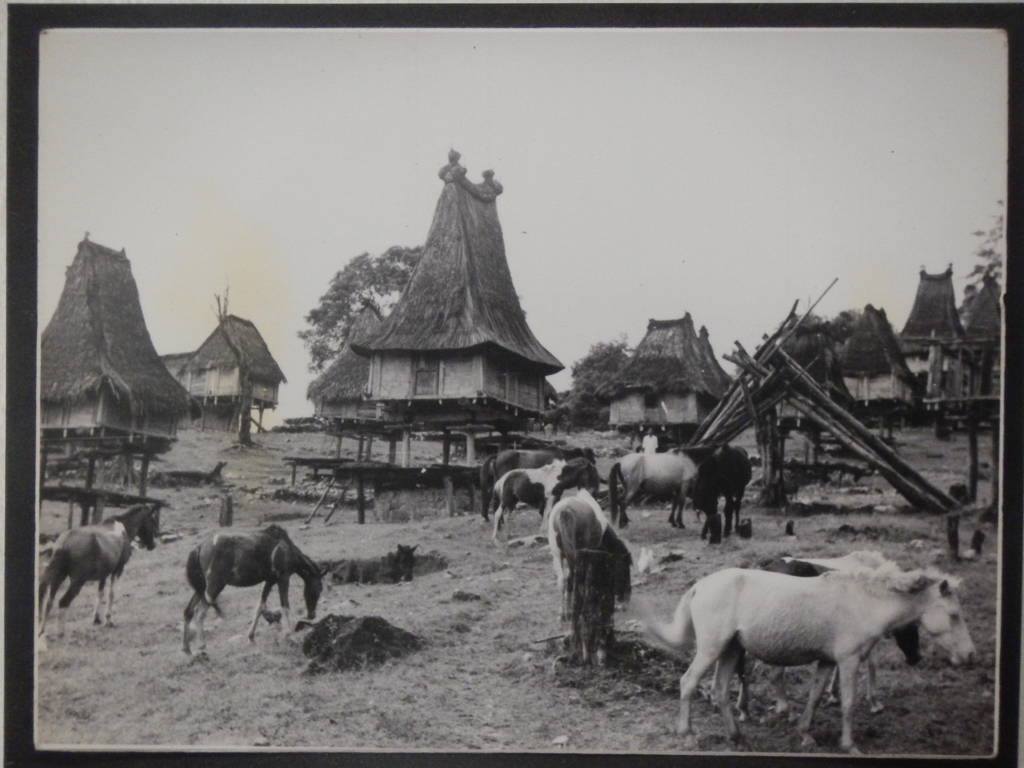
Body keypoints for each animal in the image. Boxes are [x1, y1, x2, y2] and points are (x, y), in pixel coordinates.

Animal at [38, 505, 158, 651]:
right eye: (152, 520)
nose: (153, 545)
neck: (122, 529)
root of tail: (64, 543)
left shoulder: (103, 575)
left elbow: (100, 593)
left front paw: (96, 619)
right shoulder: (117, 570)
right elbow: (111, 594)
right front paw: (108, 620)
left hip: (58, 578)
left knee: (49, 602)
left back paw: (42, 631)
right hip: (77, 582)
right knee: (63, 602)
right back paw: (61, 633)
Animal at [182, 528, 325, 659]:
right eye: (318, 588)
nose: (312, 614)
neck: (287, 549)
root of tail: (199, 547)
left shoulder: (270, 581)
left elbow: (260, 607)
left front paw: (251, 637)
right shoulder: (283, 578)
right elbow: (285, 606)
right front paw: (290, 636)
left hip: (201, 588)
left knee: (188, 611)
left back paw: (187, 648)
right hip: (214, 586)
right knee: (200, 614)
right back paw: (201, 645)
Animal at [630, 561, 974, 753]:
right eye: (954, 615)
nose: (970, 656)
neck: (863, 602)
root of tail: (700, 585)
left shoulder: (827, 661)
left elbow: (816, 696)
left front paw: (805, 734)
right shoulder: (848, 661)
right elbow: (848, 703)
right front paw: (849, 745)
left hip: (731, 649)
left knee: (720, 690)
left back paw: (737, 737)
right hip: (712, 649)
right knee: (688, 682)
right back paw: (687, 734)